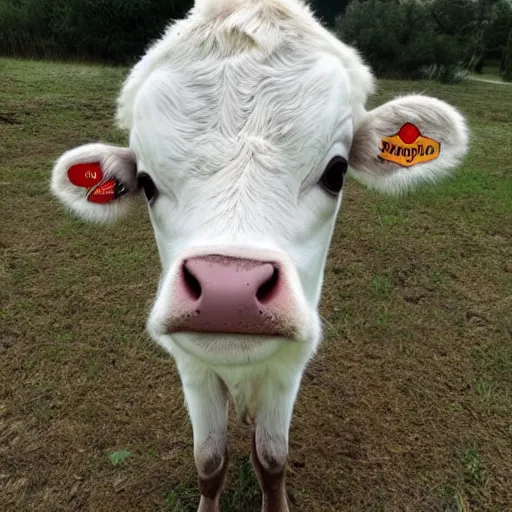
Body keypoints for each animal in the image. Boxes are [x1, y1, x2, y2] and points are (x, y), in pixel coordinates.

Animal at [51, 2, 468, 510]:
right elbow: (209, 461)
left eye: (337, 171)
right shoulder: (190, 364)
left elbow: (271, 459)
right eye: (146, 182)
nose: (228, 292)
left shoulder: (291, 363)